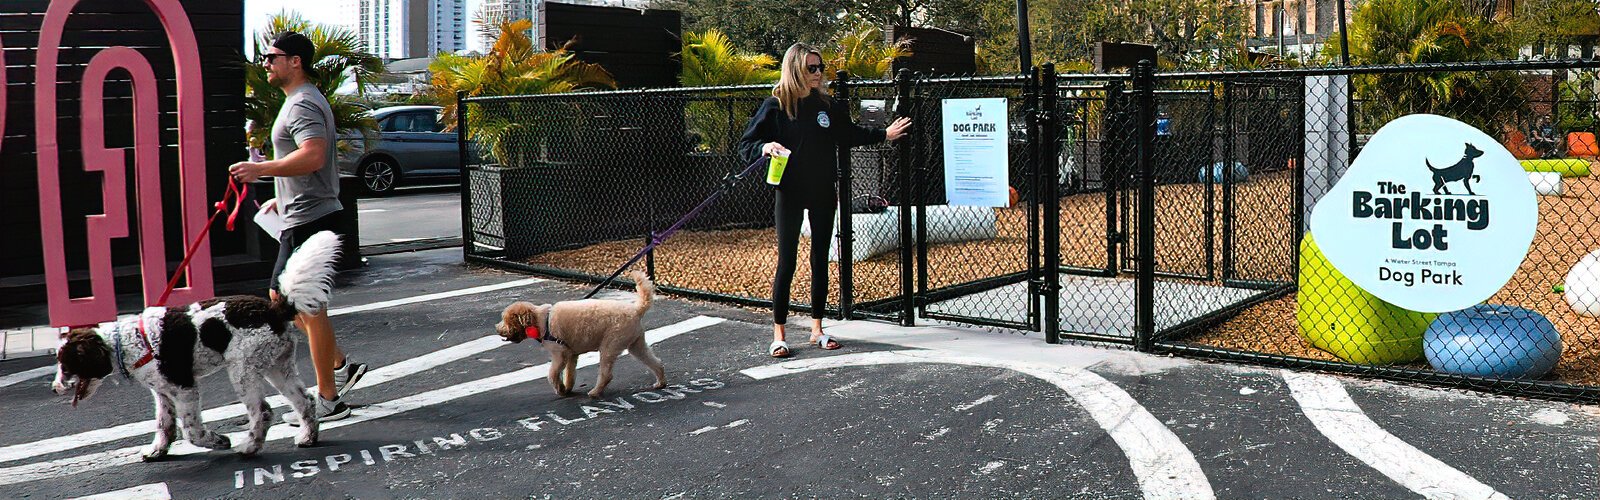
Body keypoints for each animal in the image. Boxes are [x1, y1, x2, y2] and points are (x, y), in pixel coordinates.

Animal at [55, 229, 340, 458]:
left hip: (243, 371)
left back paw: (249, 447)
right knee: (305, 400)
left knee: (263, 412)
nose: (55, 388)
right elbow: (164, 425)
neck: (125, 342)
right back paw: (308, 437)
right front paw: (157, 451)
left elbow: (190, 430)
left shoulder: (185, 388)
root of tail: (275, 309)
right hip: (277, 366)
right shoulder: (162, 393)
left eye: (66, 364)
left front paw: (217, 441)